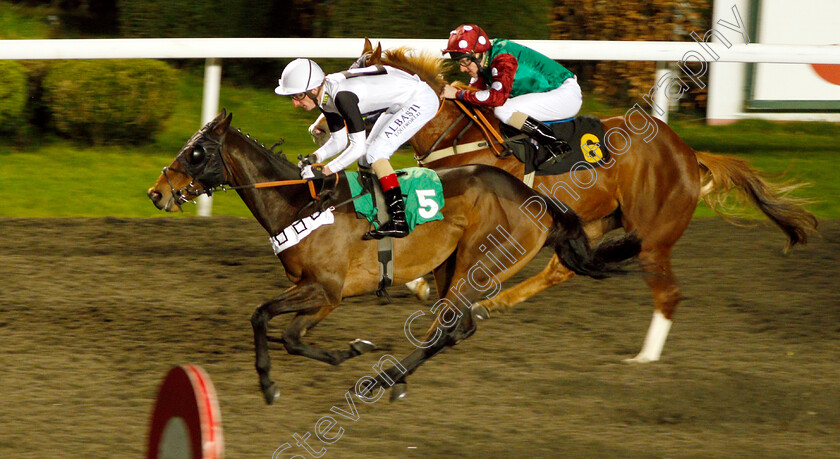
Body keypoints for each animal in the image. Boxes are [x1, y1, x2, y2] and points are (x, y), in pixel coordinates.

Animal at [148, 109, 640, 404]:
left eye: (195, 153)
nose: (156, 193)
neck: (300, 205)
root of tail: (536, 199)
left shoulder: (327, 292)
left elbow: (273, 325)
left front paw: (277, 380)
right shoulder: (311, 291)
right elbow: (276, 328)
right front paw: (329, 356)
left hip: (478, 264)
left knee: (448, 328)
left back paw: (381, 380)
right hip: (448, 266)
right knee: (458, 328)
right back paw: (397, 379)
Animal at [352, 44, 816, 362]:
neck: (457, 135)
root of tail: (689, 154)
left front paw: (420, 287)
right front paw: (417, 283)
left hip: (653, 237)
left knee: (668, 294)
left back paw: (644, 358)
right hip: (597, 218)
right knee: (562, 270)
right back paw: (495, 303)